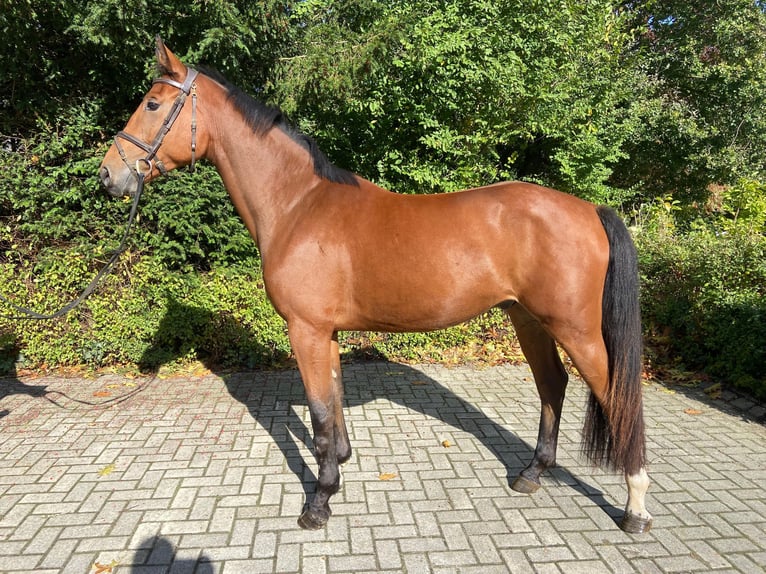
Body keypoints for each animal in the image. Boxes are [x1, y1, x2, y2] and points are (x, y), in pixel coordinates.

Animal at [100, 38, 656, 536]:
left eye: (153, 104)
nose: (108, 175)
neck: (298, 205)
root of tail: (590, 209)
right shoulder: (325, 333)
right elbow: (333, 405)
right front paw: (340, 467)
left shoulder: (305, 330)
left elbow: (319, 413)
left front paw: (319, 503)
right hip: (528, 319)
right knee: (552, 385)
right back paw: (532, 474)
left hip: (575, 329)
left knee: (616, 397)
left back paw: (635, 508)